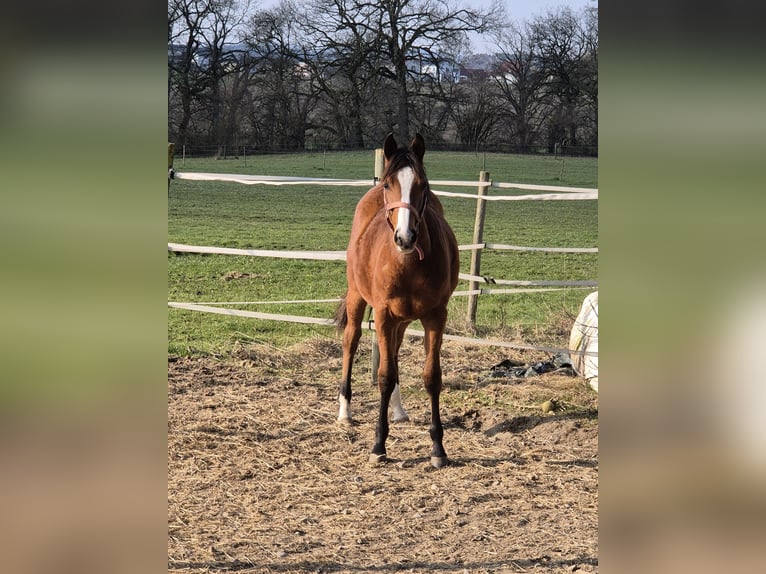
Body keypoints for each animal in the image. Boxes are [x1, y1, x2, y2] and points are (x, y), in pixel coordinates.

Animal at [334, 133, 459, 468]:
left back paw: (399, 410)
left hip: (402, 320)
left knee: (395, 350)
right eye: (390, 184)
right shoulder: (383, 314)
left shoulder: (435, 316)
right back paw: (345, 411)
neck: (408, 263)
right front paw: (379, 444)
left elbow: (431, 377)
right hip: (358, 298)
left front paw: (438, 448)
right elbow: (385, 375)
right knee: (351, 341)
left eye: (422, 184)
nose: (405, 237)